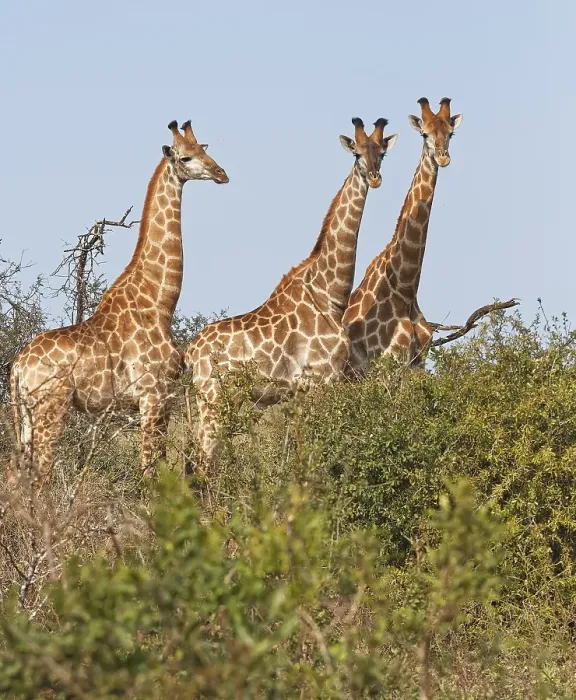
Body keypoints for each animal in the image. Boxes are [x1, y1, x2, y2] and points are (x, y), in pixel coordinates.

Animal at [10, 120, 229, 484]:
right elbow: (148, 474)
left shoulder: (161, 401)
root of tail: (16, 368)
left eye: (204, 150)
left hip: (24, 416)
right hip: (50, 410)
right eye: (185, 157)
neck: (159, 301)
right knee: (40, 478)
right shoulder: (153, 397)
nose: (221, 173)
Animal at [185, 117, 397, 462]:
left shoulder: (305, 389)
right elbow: (315, 449)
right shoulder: (322, 380)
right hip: (213, 396)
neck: (329, 294)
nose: (375, 178)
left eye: (382, 153)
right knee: (205, 456)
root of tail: (190, 353)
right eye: (356, 153)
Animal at [343, 97, 462, 375]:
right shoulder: (387, 365)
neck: (405, 287)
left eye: (451, 133)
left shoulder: (416, 365)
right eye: (424, 134)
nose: (443, 158)